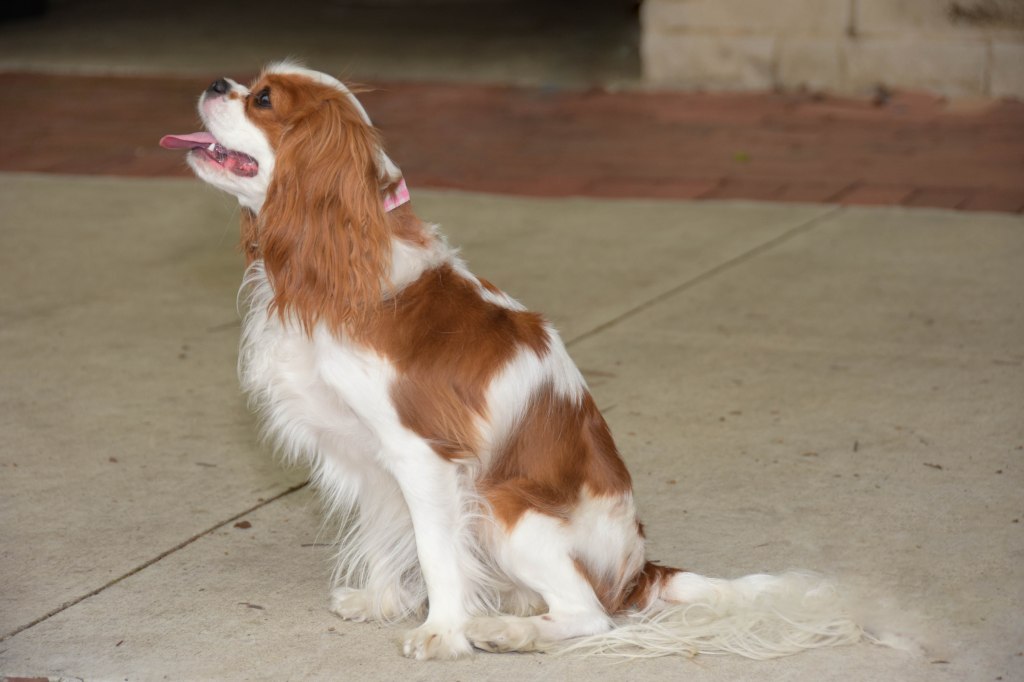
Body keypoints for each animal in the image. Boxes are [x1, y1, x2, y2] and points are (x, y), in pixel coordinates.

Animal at [161, 61, 868, 660]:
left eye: (263, 99)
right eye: (249, 84)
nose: (217, 81)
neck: (341, 265)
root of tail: (639, 571)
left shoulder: (424, 457)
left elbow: (436, 552)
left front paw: (442, 633)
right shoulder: (373, 460)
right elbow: (389, 536)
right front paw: (383, 600)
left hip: (508, 510)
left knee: (591, 616)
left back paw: (508, 629)